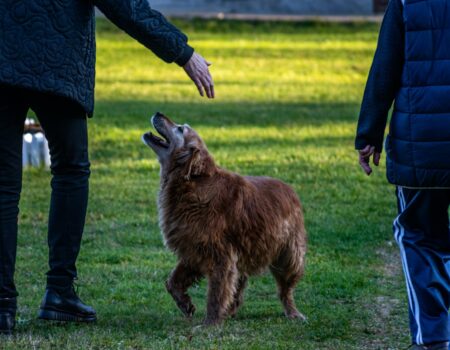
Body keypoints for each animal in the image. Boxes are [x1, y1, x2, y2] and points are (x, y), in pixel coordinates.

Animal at [142, 112, 308, 326]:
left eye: (180, 129)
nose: (158, 113)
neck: (194, 182)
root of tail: (290, 189)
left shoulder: (220, 256)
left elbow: (216, 293)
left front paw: (210, 323)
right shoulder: (193, 249)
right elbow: (173, 281)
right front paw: (185, 303)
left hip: (289, 256)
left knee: (285, 291)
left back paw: (293, 312)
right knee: (238, 288)